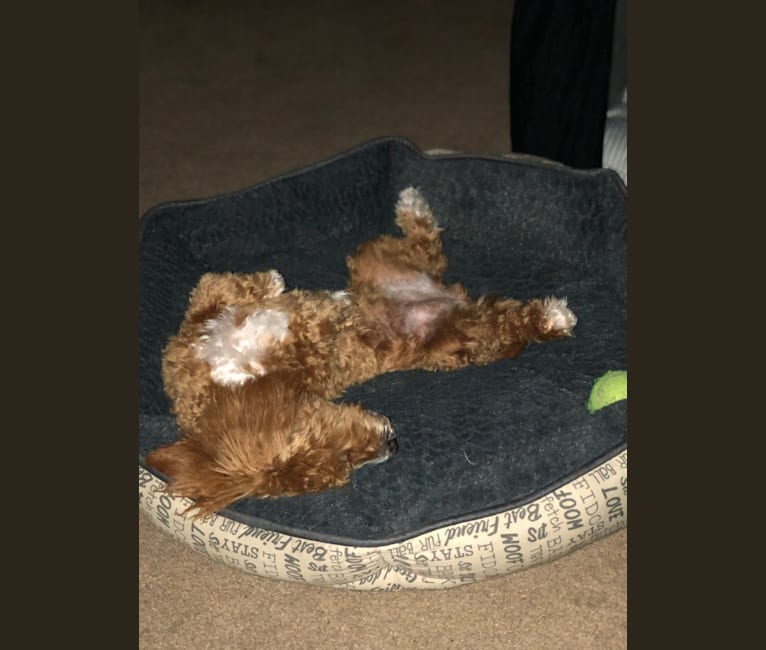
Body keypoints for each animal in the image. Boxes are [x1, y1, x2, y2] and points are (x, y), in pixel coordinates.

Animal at [146, 185, 576, 512]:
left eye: (318, 429)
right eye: (342, 466)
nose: (393, 445)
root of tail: (448, 297)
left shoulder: (219, 320)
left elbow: (223, 289)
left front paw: (272, 289)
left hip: (377, 264)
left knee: (431, 251)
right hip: (458, 329)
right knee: (468, 287)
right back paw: (550, 316)